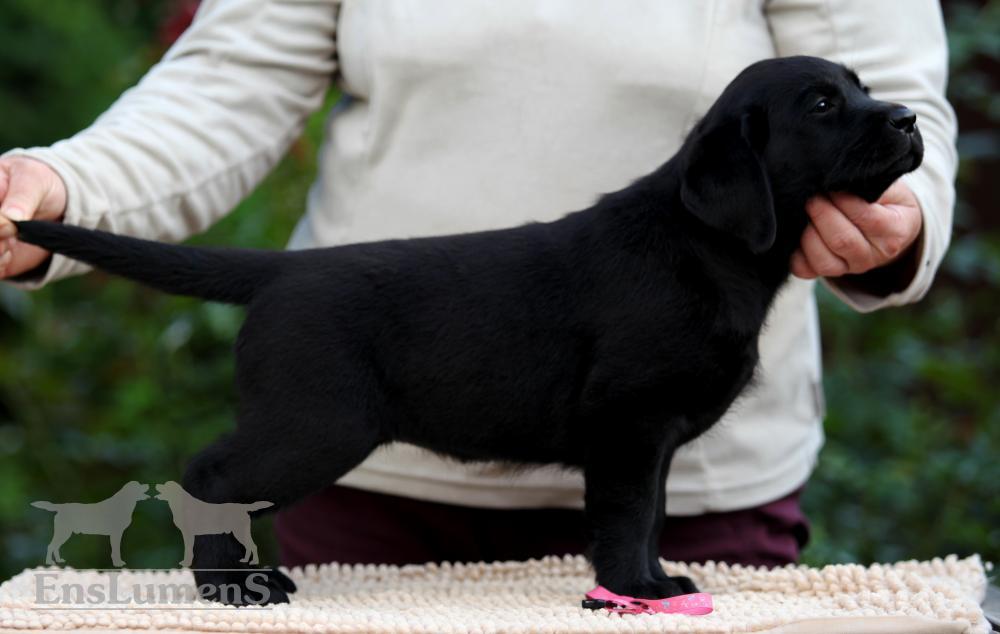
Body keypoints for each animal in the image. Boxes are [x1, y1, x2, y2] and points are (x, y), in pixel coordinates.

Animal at [13, 54, 920, 604]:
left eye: (862, 86)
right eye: (823, 104)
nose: (911, 118)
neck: (706, 247)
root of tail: (278, 271)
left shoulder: (649, 439)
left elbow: (654, 513)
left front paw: (654, 580)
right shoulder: (629, 424)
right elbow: (628, 517)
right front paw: (641, 590)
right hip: (318, 421)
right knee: (211, 475)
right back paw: (231, 588)